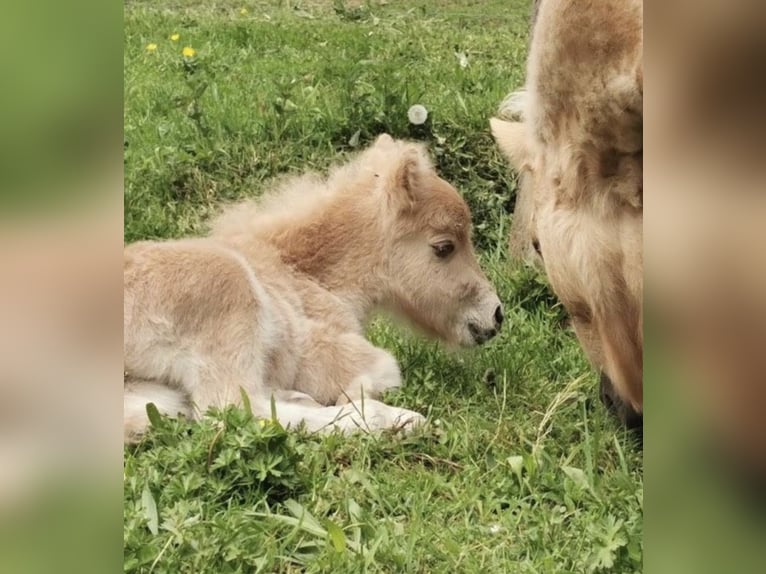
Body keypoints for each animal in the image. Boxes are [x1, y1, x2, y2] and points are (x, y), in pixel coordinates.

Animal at [124, 135, 504, 440]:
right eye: (444, 247)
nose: (496, 315)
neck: (305, 273)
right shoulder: (326, 351)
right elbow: (385, 370)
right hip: (228, 294)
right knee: (233, 412)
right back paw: (397, 420)